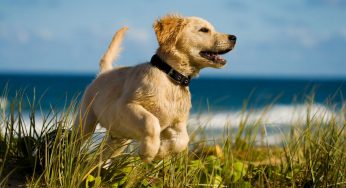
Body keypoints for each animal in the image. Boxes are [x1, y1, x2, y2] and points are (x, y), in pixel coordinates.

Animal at [75, 13, 238, 162]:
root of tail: (104, 73)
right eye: (204, 30)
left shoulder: (177, 122)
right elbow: (151, 121)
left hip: (118, 140)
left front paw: (161, 151)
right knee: (76, 139)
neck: (171, 77)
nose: (234, 37)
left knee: (99, 158)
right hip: (86, 121)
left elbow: (182, 140)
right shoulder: (126, 106)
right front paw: (148, 152)